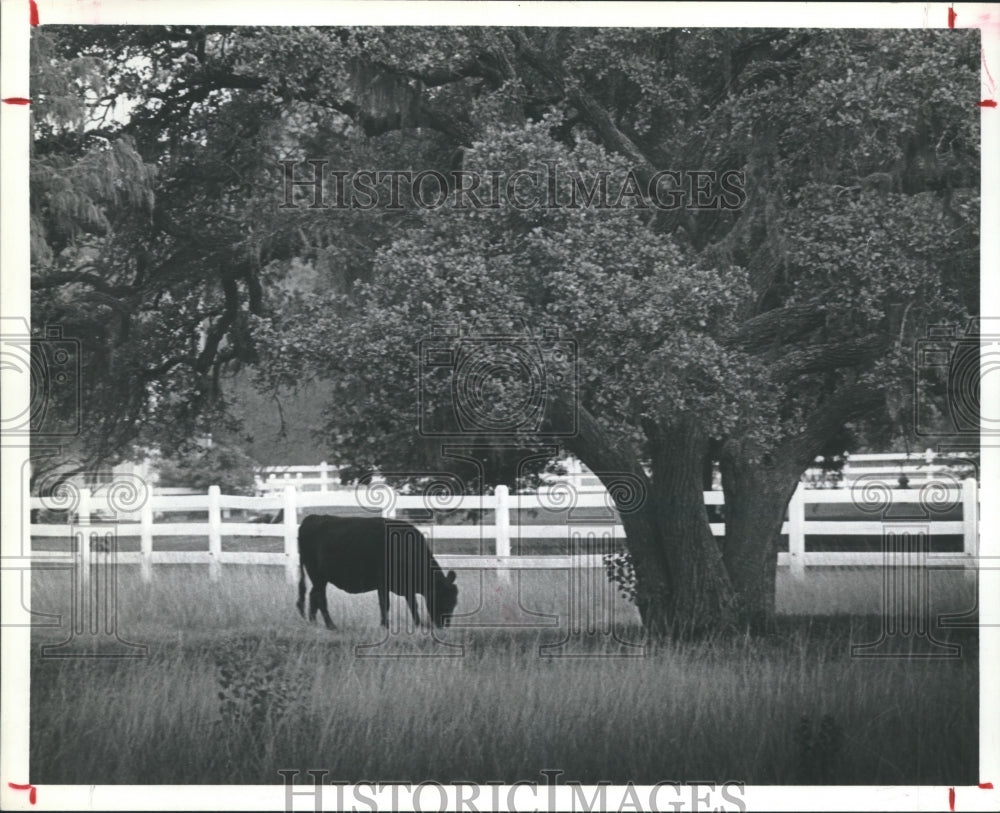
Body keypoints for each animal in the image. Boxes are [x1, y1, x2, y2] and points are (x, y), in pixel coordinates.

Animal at [292, 512, 458, 628]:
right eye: (442, 598)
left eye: (454, 602)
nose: (444, 626)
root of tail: (312, 518)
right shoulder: (383, 583)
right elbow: (385, 604)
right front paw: (385, 625)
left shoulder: (407, 588)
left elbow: (413, 605)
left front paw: (418, 625)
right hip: (317, 574)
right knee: (320, 597)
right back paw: (331, 625)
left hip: (319, 577)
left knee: (313, 595)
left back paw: (314, 623)